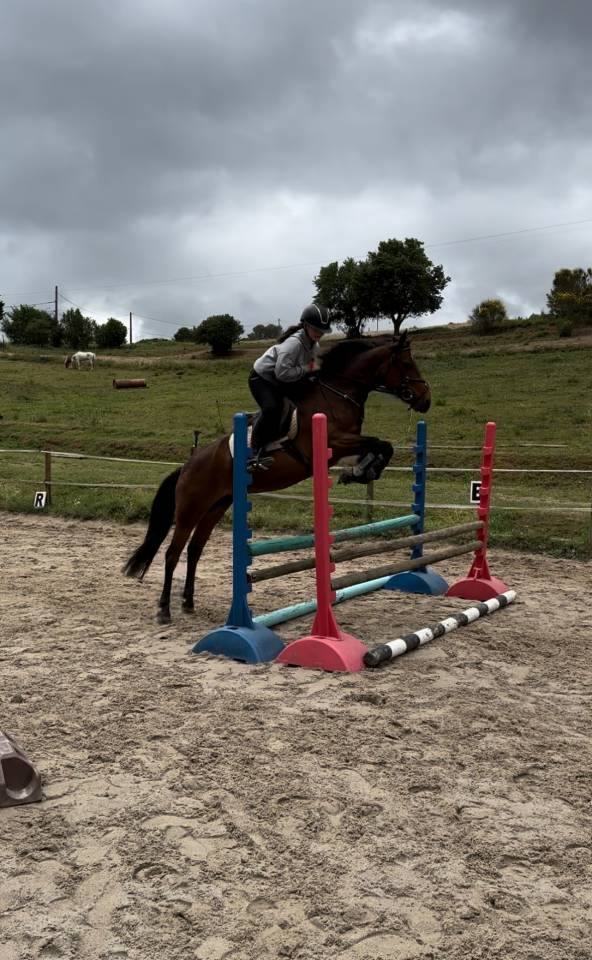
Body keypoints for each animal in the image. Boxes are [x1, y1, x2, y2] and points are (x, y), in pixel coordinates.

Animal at [124, 332, 431, 624]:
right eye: (407, 363)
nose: (425, 399)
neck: (339, 393)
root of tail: (187, 465)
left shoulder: (346, 446)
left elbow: (381, 447)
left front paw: (360, 472)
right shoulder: (336, 441)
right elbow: (381, 444)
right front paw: (360, 472)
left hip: (216, 506)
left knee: (195, 550)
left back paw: (188, 602)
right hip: (191, 509)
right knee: (172, 553)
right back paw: (164, 609)